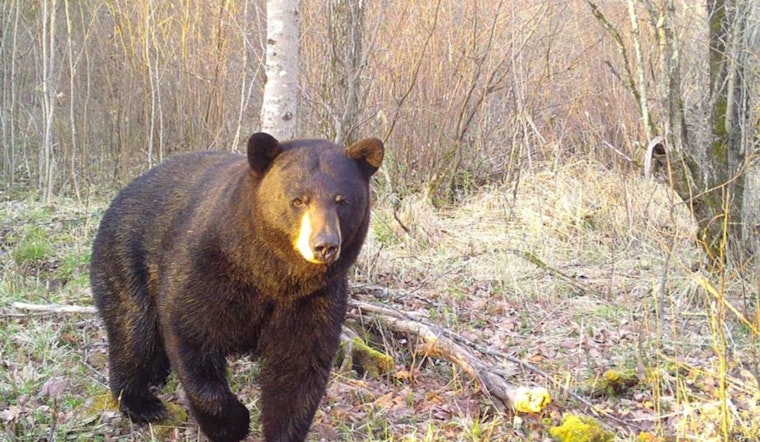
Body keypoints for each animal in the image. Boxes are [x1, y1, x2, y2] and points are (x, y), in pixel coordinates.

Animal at [90, 132, 384, 442]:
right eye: (298, 200)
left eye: (342, 201)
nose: (324, 245)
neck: (274, 275)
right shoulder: (207, 267)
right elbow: (190, 332)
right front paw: (233, 423)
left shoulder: (314, 297)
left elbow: (299, 367)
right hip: (126, 257)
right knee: (133, 330)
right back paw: (140, 401)